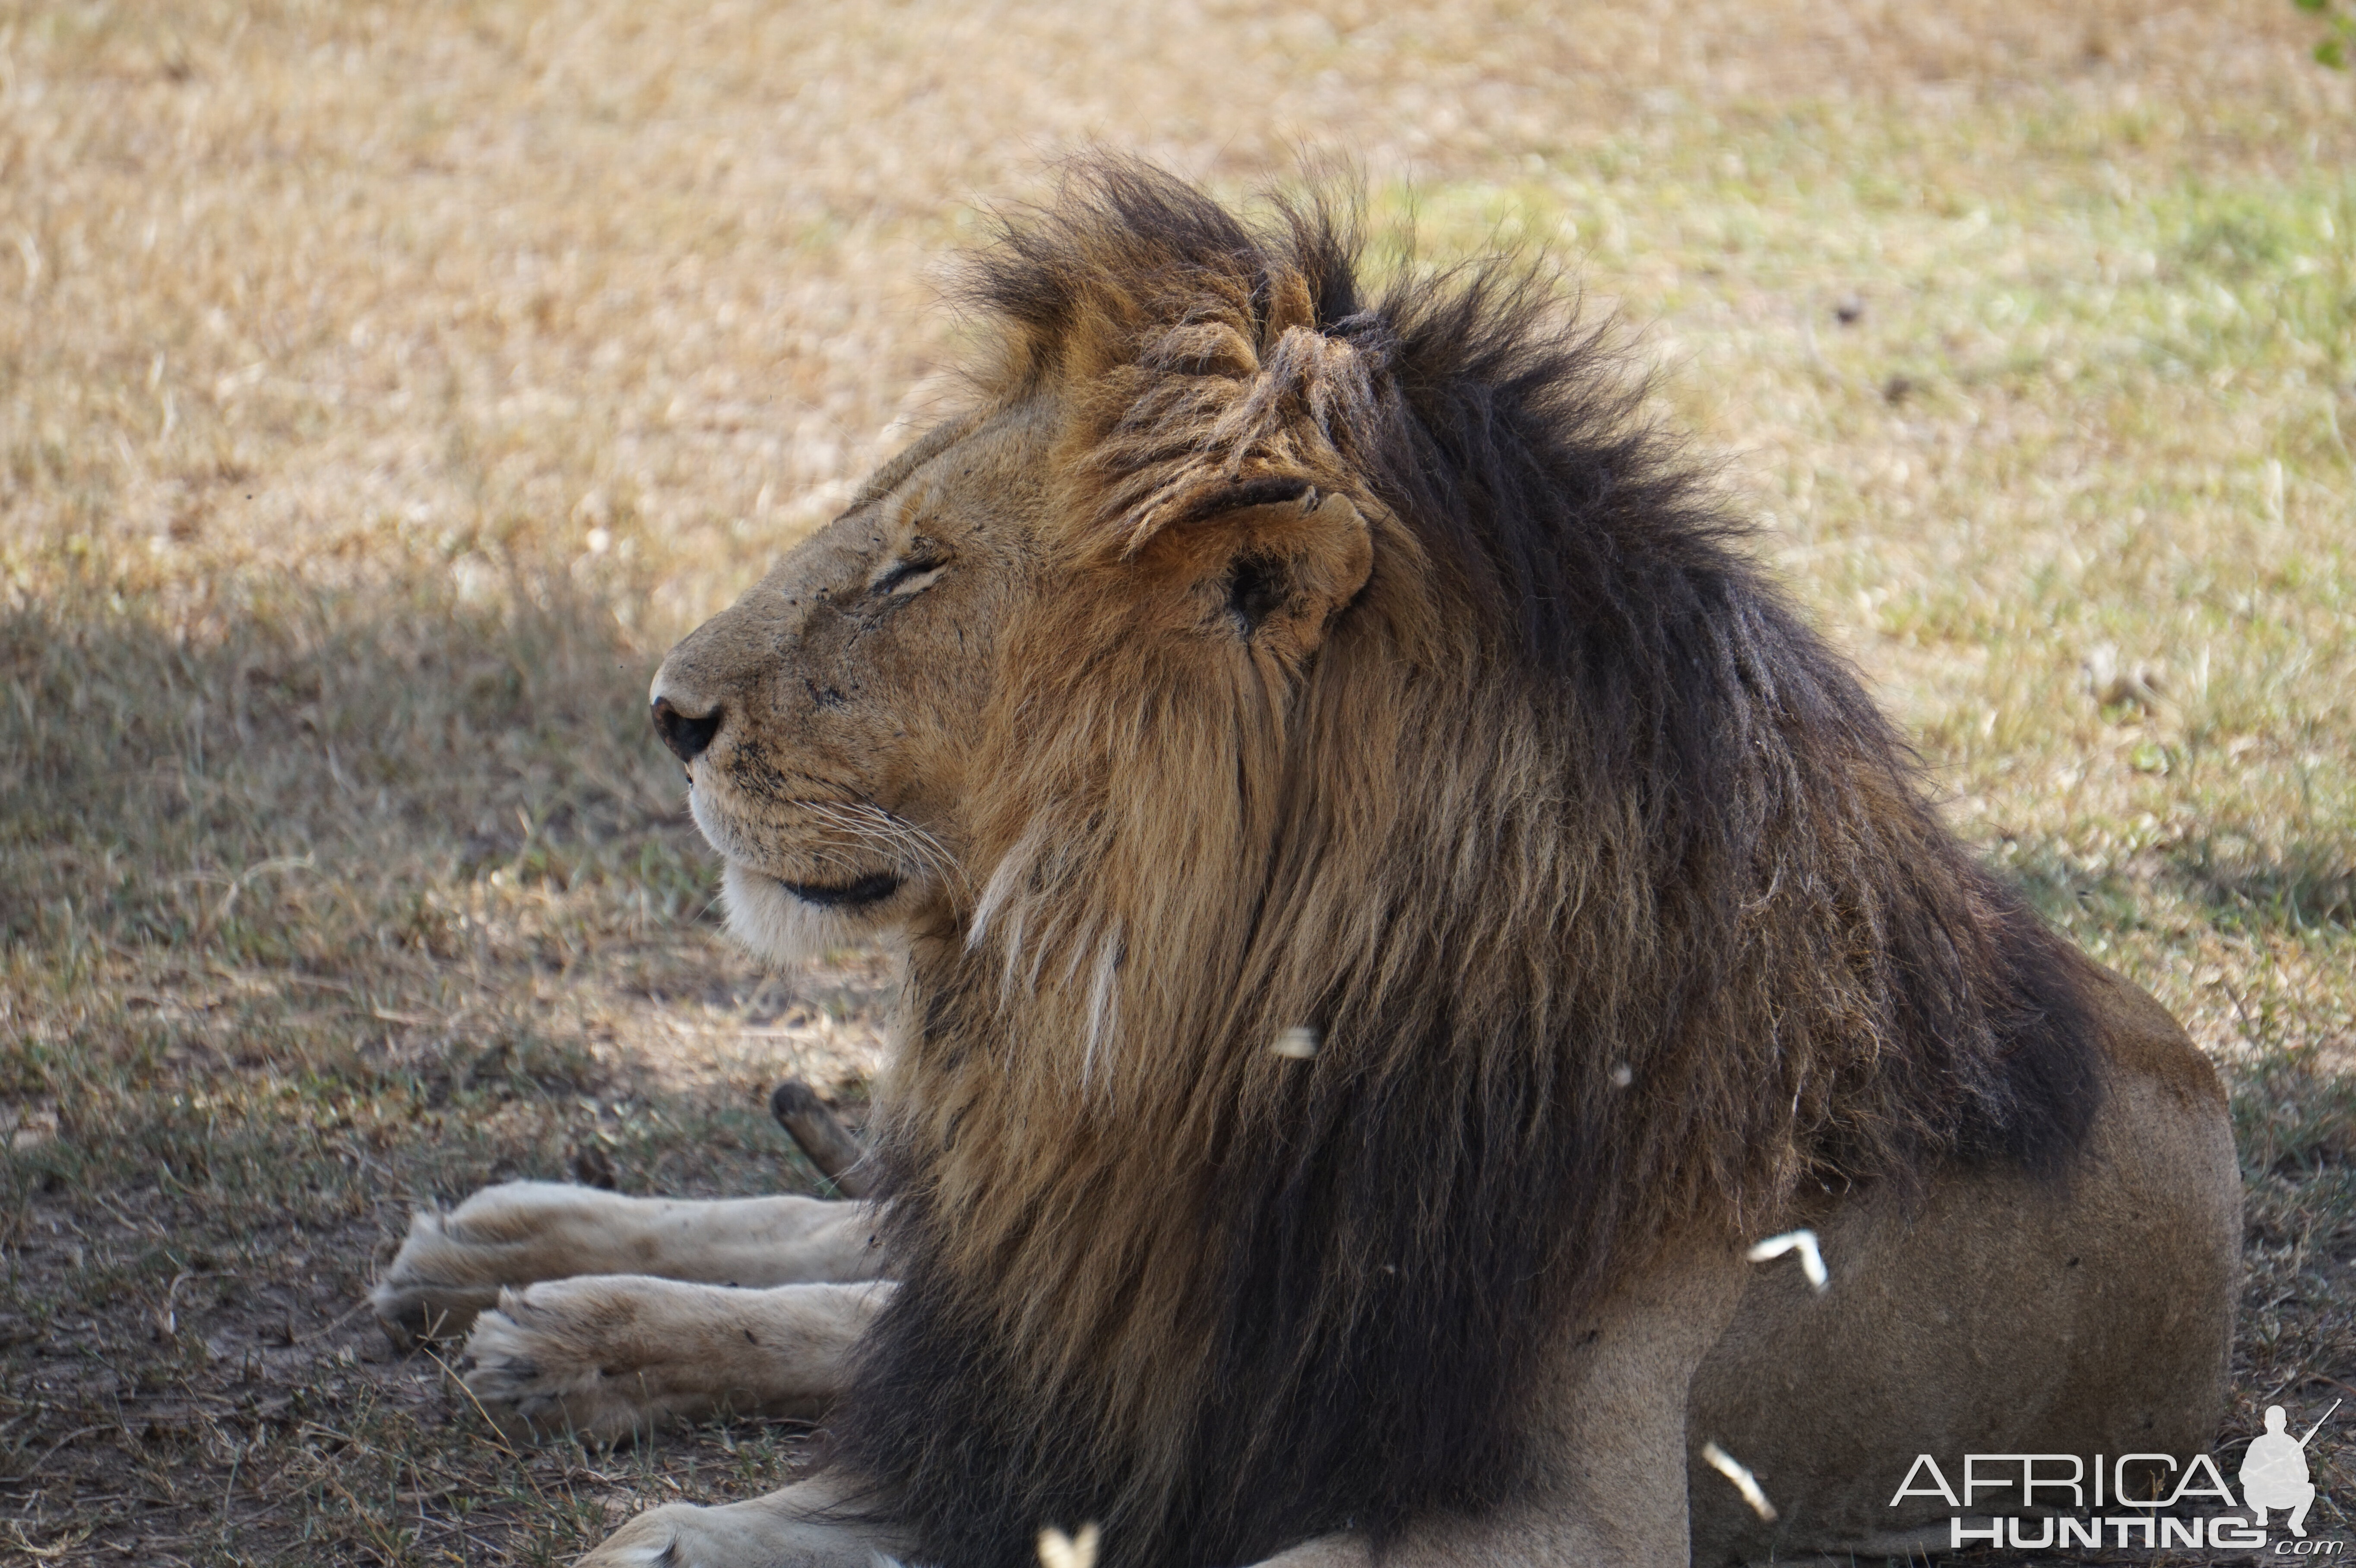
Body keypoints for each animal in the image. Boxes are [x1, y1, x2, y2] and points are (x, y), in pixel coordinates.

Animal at [377, 164, 2233, 1554]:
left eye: (916, 568)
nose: (665, 713)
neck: (1213, 1046)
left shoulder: (1560, 1504)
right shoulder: (1123, 1339)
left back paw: (541, 1308)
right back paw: (517, 1263)